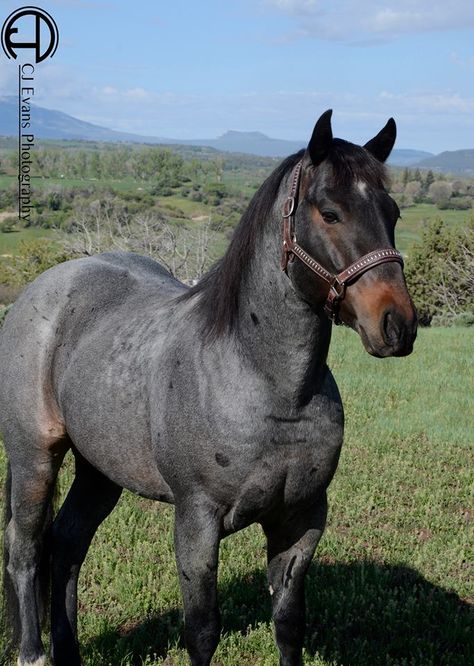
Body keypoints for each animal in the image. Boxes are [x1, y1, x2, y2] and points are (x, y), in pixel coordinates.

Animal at [0, 111, 414, 660]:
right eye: (330, 213)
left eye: (393, 212)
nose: (398, 324)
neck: (271, 391)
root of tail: (41, 289)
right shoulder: (197, 521)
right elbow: (201, 630)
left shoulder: (301, 521)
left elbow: (289, 623)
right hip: (35, 459)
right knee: (25, 550)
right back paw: (33, 652)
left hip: (99, 470)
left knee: (66, 545)